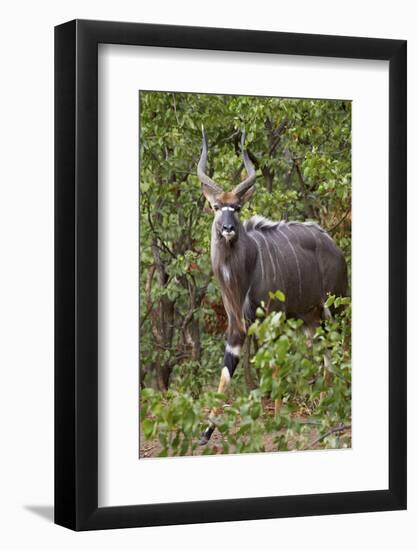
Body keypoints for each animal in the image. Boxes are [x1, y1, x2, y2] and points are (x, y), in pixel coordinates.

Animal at [197, 127, 346, 446]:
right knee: (325, 352)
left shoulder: (271, 318)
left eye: (237, 207)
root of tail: (334, 247)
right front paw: (205, 432)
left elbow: (274, 365)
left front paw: (276, 418)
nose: (227, 229)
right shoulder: (237, 326)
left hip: (334, 307)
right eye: (216, 207)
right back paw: (323, 404)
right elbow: (226, 372)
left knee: (339, 347)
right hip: (310, 317)